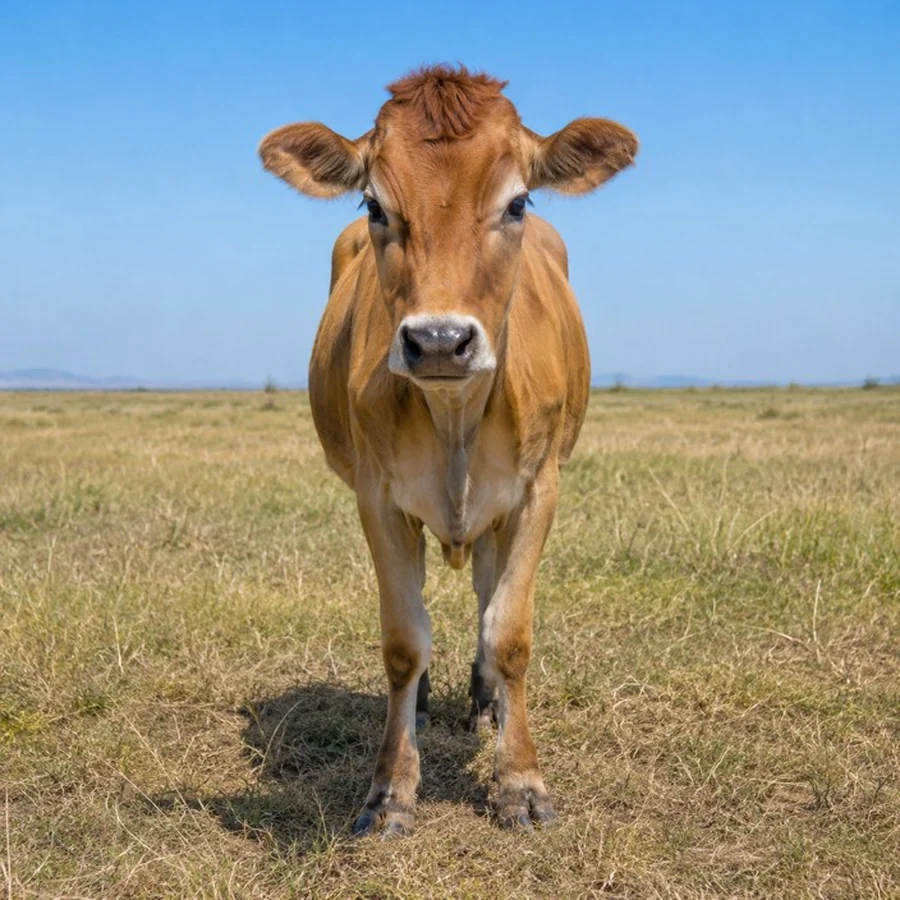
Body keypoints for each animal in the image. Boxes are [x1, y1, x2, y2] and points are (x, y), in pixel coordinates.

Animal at [259, 65, 637, 836]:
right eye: (374, 204)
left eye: (517, 202)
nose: (438, 340)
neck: (456, 414)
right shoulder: (377, 498)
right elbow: (404, 639)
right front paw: (390, 790)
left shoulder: (538, 491)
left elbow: (509, 632)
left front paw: (520, 781)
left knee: (489, 595)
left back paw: (486, 703)